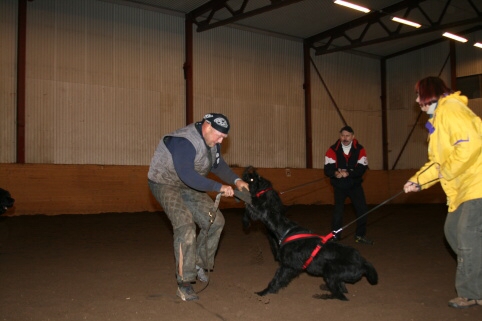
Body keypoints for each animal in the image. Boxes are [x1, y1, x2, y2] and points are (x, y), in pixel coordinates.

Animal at [243, 166, 378, 298]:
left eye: (259, 204)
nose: (248, 202)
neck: (285, 229)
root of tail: (363, 263)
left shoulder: (288, 266)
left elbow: (277, 279)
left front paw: (263, 292)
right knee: (343, 289)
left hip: (330, 270)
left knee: (340, 295)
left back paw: (322, 295)